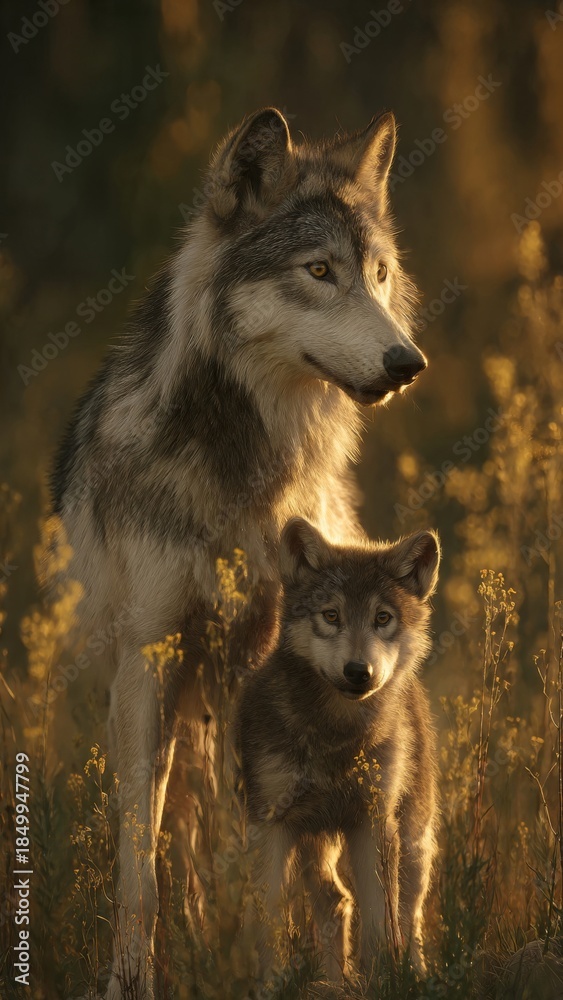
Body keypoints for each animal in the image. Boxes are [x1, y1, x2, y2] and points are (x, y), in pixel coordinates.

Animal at [237, 517, 440, 981]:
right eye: (331, 616)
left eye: (383, 618)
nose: (358, 672)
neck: (335, 735)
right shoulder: (270, 825)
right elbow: (270, 923)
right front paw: (271, 985)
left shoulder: (372, 822)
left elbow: (382, 923)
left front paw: (385, 979)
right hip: (315, 842)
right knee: (336, 900)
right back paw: (334, 982)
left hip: (412, 842)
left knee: (410, 913)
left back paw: (417, 974)